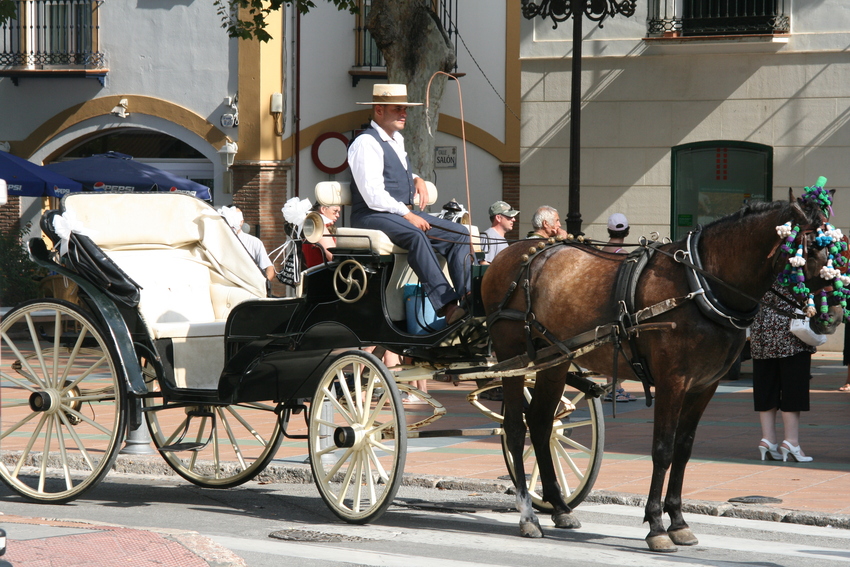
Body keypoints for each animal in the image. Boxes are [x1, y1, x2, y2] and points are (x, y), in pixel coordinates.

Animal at [480, 194, 840, 552]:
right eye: (810, 248)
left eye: (839, 247)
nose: (834, 316)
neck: (700, 286)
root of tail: (514, 252)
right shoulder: (672, 382)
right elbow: (662, 450)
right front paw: (656, 525)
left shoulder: (704, 386)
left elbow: (683, 450)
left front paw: (678, 522)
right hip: (512, 357)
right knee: (515, 429)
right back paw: (528, 515)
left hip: (553, 361)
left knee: (541, 425)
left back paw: (559, 507)